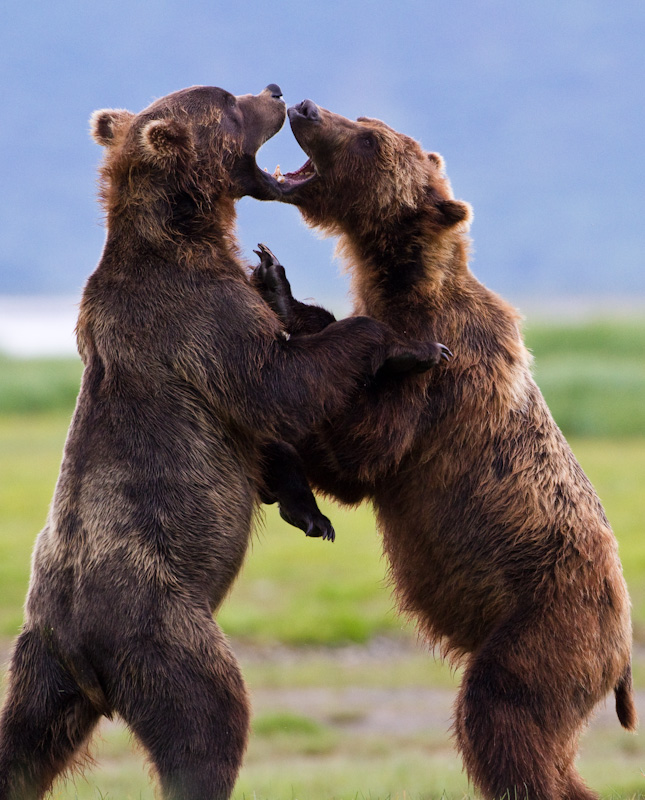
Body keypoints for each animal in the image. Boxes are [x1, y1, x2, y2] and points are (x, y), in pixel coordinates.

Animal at [0, 86, 442, 800]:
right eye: (229, 103)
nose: (276, 91)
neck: (188, 232)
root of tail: (80, 646)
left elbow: (268, 435)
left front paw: (308, 510)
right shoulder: (197, 319)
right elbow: (279, 384)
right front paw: (411, 344)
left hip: (39, 668)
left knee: (22, 748)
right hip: (162, 627)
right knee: (209, 719)